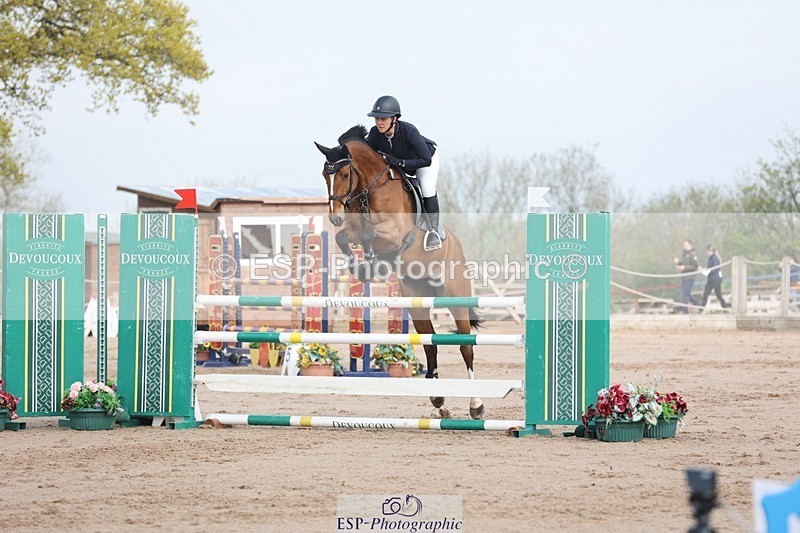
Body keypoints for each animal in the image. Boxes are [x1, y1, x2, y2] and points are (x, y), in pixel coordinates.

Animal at [315, 125, 485, 419]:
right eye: (326, 175)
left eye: (345, 174)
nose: (335, 217)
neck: (369, 188)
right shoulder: (353, 229)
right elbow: (344, 237)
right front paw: (362, 265)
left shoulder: (393, 232)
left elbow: (370, 233)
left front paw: (369, 259)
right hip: (417, 301)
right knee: (430, 344)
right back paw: (439, 401)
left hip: (456, 298)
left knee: (466, 345)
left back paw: (476, 405)